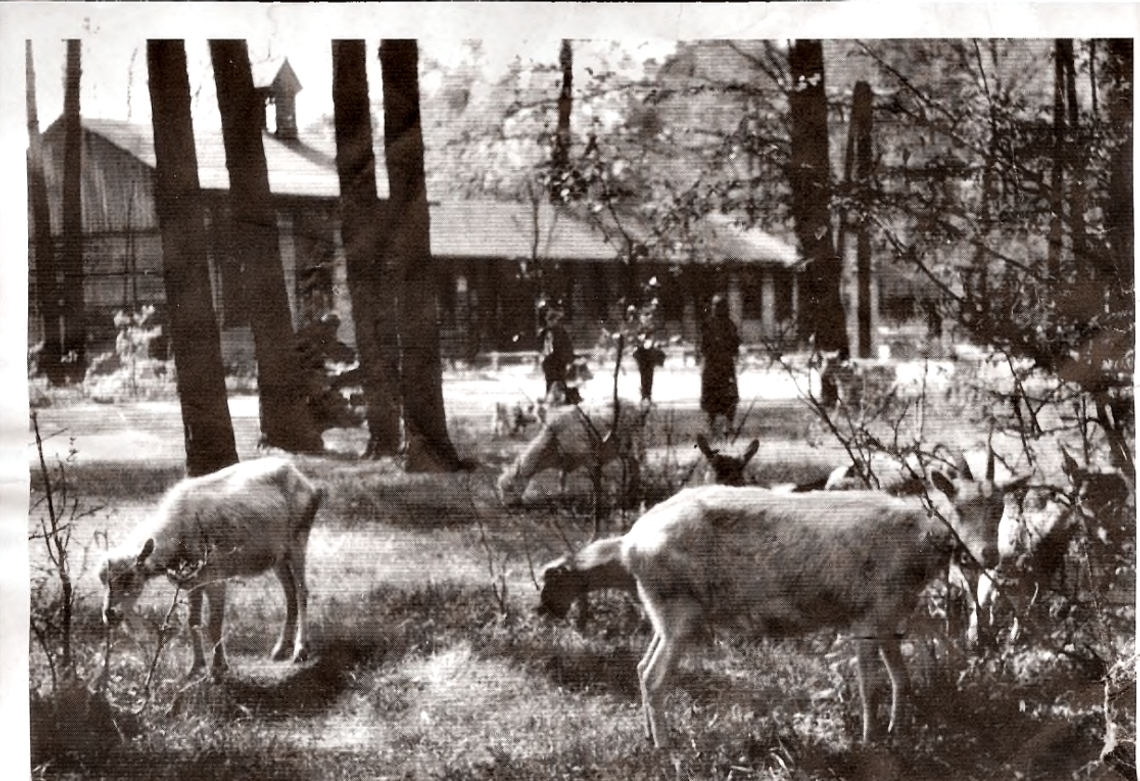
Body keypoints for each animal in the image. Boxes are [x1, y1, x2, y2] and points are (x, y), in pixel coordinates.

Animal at [98, 460, 326, 674]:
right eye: (103, 581)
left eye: (130, 578)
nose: (110, 614)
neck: (180, 530)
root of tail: (301, 477)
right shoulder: (192, 583)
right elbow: (193, 622)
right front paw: (196, 667)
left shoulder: (216, 579)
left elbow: (214, 624)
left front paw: (218, 668)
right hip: (277, 557)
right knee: (290, 594)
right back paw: (280, 649)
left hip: (298, 541)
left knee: (302, 592)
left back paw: (300, 650)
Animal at [497, 399, 647, 508]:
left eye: (510, 486)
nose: (507, 506)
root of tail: (635, 407)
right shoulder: (564, 462)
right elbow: (561, 482)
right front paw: (562, 501)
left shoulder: (590, 458)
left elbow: (596, 483)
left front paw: (596, 504)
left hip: (630, 441)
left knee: (635, 466)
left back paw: (631, 494)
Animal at [620, 465, 1030, 747]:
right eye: (958, 507)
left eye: (999, 507)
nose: (989, 556)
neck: (912, 543)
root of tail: (629, 544)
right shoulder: (866, 616)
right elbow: (870, 685)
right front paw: (869, 740)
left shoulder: (891, 618)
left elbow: (902, 680)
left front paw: (897, 732)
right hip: (680, 611)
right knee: (655, 676)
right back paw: (665, 746)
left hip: (663, 612)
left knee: (640, 666)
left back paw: (648, 735)